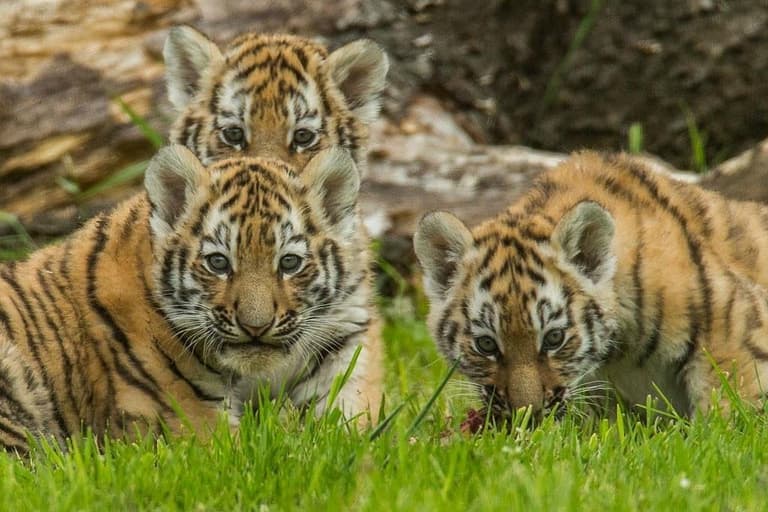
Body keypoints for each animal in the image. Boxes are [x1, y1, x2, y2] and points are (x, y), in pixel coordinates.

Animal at [414, 151, 768, 423]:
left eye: (554, 338)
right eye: (486, 344)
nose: (527, 414)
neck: (620, 353)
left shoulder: (732, 334)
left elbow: (729, 409)